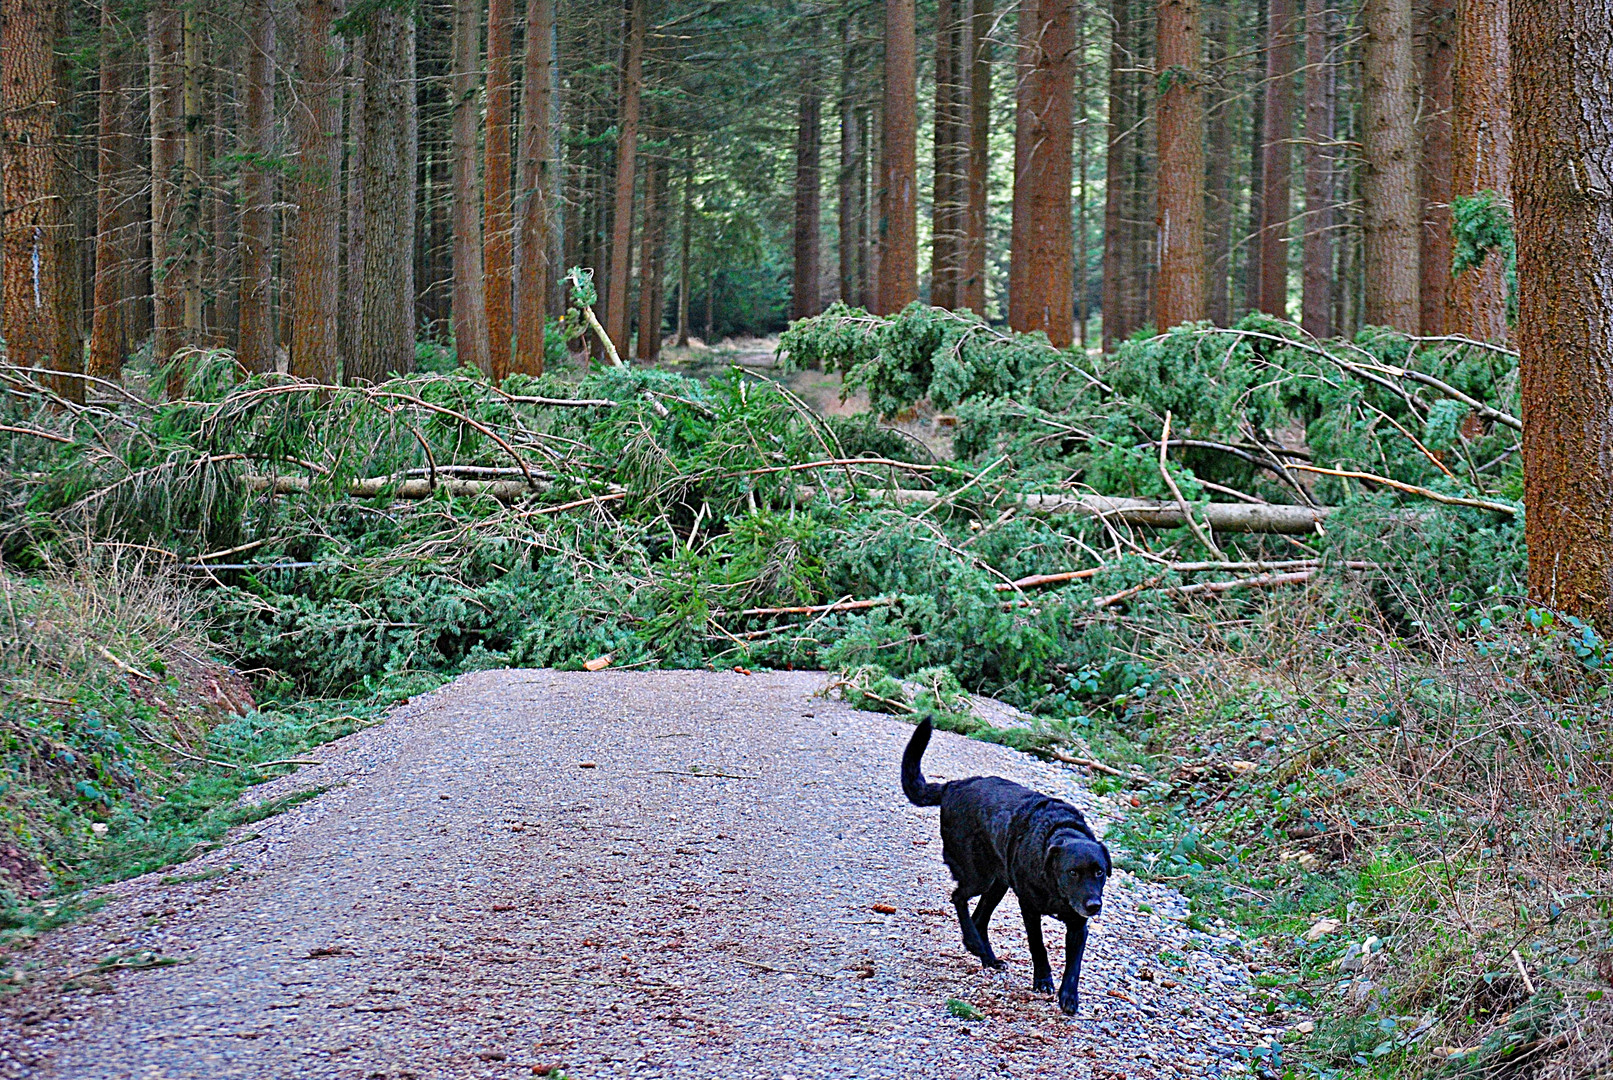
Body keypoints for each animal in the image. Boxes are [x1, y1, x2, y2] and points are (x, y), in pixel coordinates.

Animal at [903, 718, 1116, 1018]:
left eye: (1099, 872)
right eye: (1072, 872)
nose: (1094, 905)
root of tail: (953, 786)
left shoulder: (1078, 924)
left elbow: (1074, 965)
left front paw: (1069, 997)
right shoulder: (1029, 908)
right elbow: (1038, 946)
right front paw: (1043, 980)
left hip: (998, 883)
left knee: (979, 917)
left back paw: (987, 957)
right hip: (978, 875)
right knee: (958, 898)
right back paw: (974, 944)